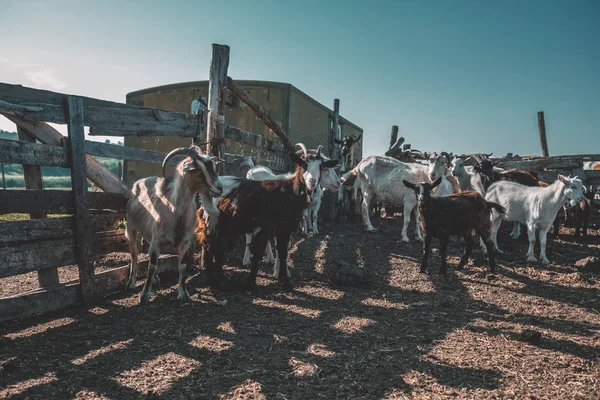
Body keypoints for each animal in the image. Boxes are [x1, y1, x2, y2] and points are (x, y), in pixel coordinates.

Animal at [125, 145, 223, 302]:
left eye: (213, 166)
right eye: (198, 169)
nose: (219, 188)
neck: (174, 210)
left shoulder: (185, 242)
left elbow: (182, 266)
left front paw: (183, 293)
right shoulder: (156, 241)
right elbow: (152, 265)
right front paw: (145, 295)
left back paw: (155, 279)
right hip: (130, 228)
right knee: (134, 254)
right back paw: (131, 283)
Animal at [197, 148, 338, 290]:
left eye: (321, 166)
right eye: (304, 164)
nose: (312, 181)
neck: (289, 192)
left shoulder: (283, 229)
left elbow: (282, 252)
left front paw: (283, 280)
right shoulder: (266, 227)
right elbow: (261, 255)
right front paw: (253, 283)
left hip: (220, 225)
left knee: (215, 249)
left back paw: (220, 279)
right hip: (212, 221)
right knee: (210, 249)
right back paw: (214, 280)